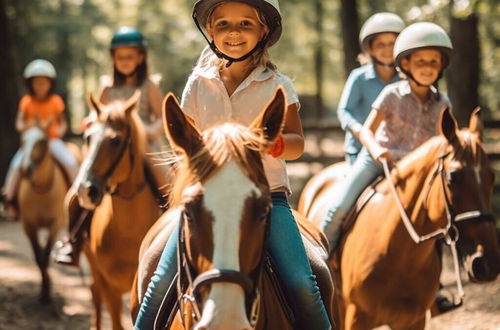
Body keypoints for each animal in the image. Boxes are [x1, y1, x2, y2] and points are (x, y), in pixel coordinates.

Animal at [17, 120, 70, 302]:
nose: (25, 169)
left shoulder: (55, 225)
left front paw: (47, 293)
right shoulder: (28, 226)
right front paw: (44, 289)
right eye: (23, 140)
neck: (41, 191)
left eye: (41, 141)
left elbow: (45, 256)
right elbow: (38, 257)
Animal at [76, 91, 162, 328]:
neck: (128, 230)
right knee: (94, 292)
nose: (86, 191)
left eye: (115, 141)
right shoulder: (110, 287)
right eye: (88, 138)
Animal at [298, 107, 498, 328]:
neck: (397, 251)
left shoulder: (415, 321)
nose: (487, 263)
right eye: (453, 176)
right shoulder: (356, 317)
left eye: (492, 177)